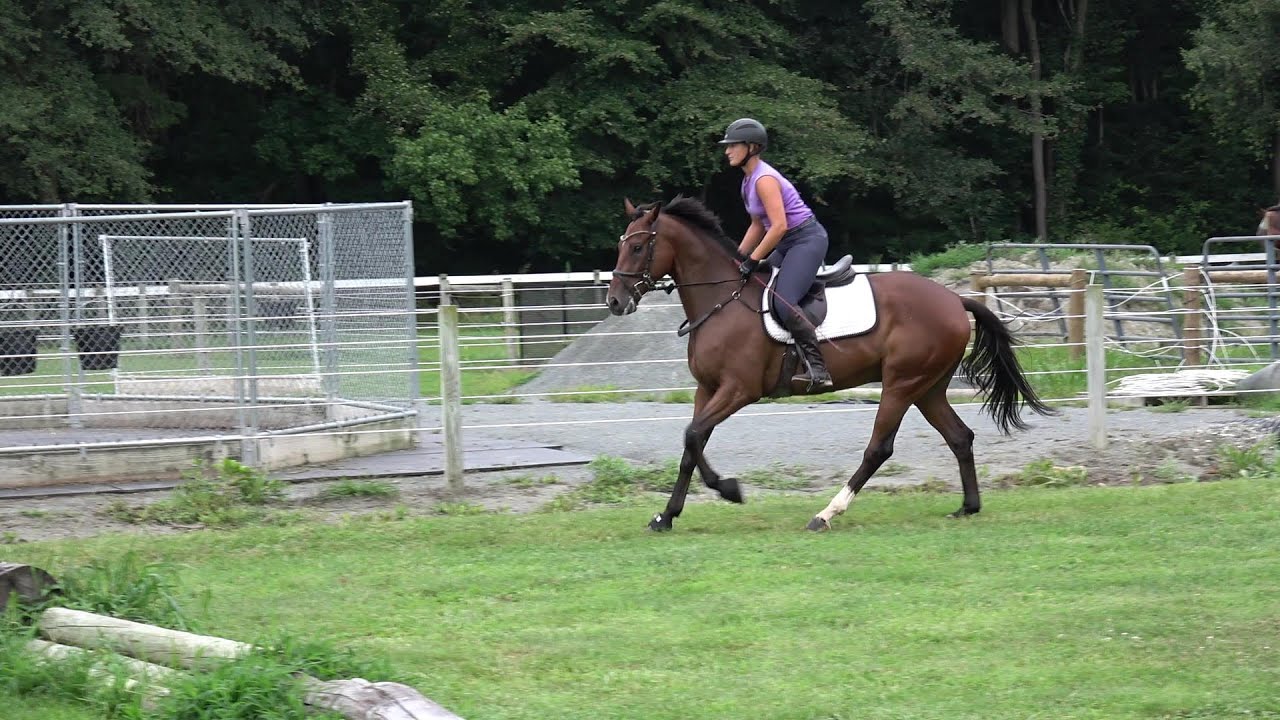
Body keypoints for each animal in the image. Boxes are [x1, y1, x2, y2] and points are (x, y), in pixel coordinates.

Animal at [606, 196, 1056, 532]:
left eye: (638, 247)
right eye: (621, 244)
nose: (614, 301)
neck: (722, 300)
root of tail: (953, 299)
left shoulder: (739, 390)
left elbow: (694, 435)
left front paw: (728, 489)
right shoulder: (708, 389)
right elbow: (691, 443)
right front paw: (667, 516)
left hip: (901, 383)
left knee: (879, 448)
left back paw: (826, 514)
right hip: (928, 387)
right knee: (960, 437)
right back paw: (968, 506)